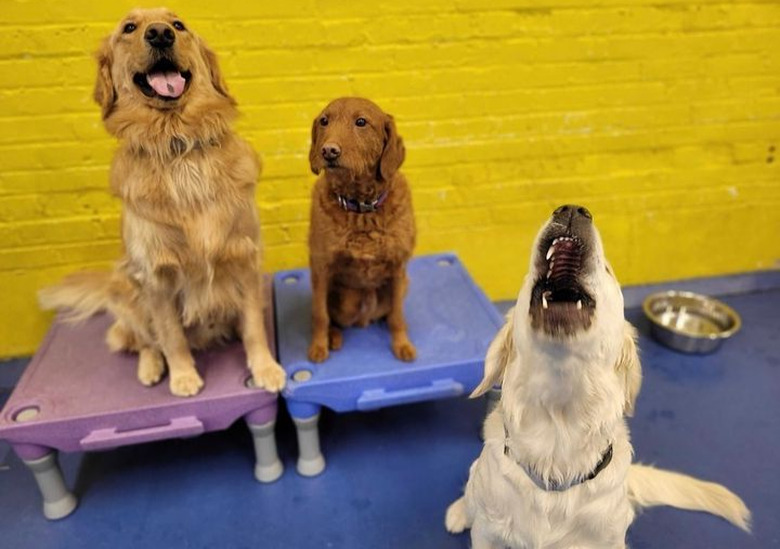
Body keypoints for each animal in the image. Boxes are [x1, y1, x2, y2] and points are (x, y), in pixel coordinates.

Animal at [37, 7, 286, 394]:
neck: (177, 143)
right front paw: (183, 376)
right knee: (144, 341)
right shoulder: (156, 277)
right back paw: (151, 367)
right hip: (128, 291)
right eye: (129, 28)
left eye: (178, 25)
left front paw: (266, 369)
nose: (159, 34)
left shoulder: (244, 256)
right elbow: (171, 336)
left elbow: (253, 327)